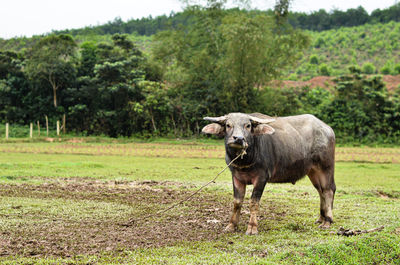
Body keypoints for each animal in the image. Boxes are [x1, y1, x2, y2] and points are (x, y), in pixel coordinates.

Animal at [202, 111, 336, 233]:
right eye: (228, 125)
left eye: (248, 125)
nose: (239, 139)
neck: (245, 161)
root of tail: (328, 129)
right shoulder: (236, 177)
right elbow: (237, 202)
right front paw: (231, 225)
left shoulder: (262, 178)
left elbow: (253, 202)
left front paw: (252, 227)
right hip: (313, 171)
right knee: (321, 191)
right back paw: (321, 218)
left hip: (326, 167)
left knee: (328, 190)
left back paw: (327, 221)